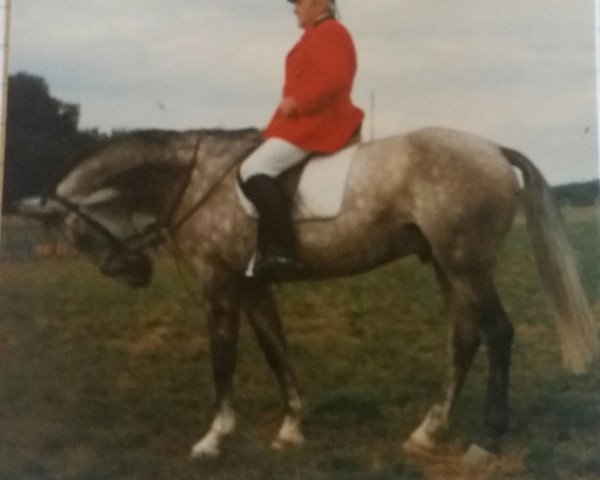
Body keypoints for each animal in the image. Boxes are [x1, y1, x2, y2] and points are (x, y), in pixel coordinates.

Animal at [15, 126, 600, 462]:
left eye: (77, 233)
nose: (134, 272)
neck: (195, 179)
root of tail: (492, 148)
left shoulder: (220, 287)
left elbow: (223, 357)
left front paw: (213, 438)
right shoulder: (254, 287)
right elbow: (276, 350)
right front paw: (292, 428)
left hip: (466, 265)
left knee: (498, 333)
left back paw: (488, 440)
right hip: (447, 268)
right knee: (465, 337)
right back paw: (427, 433)